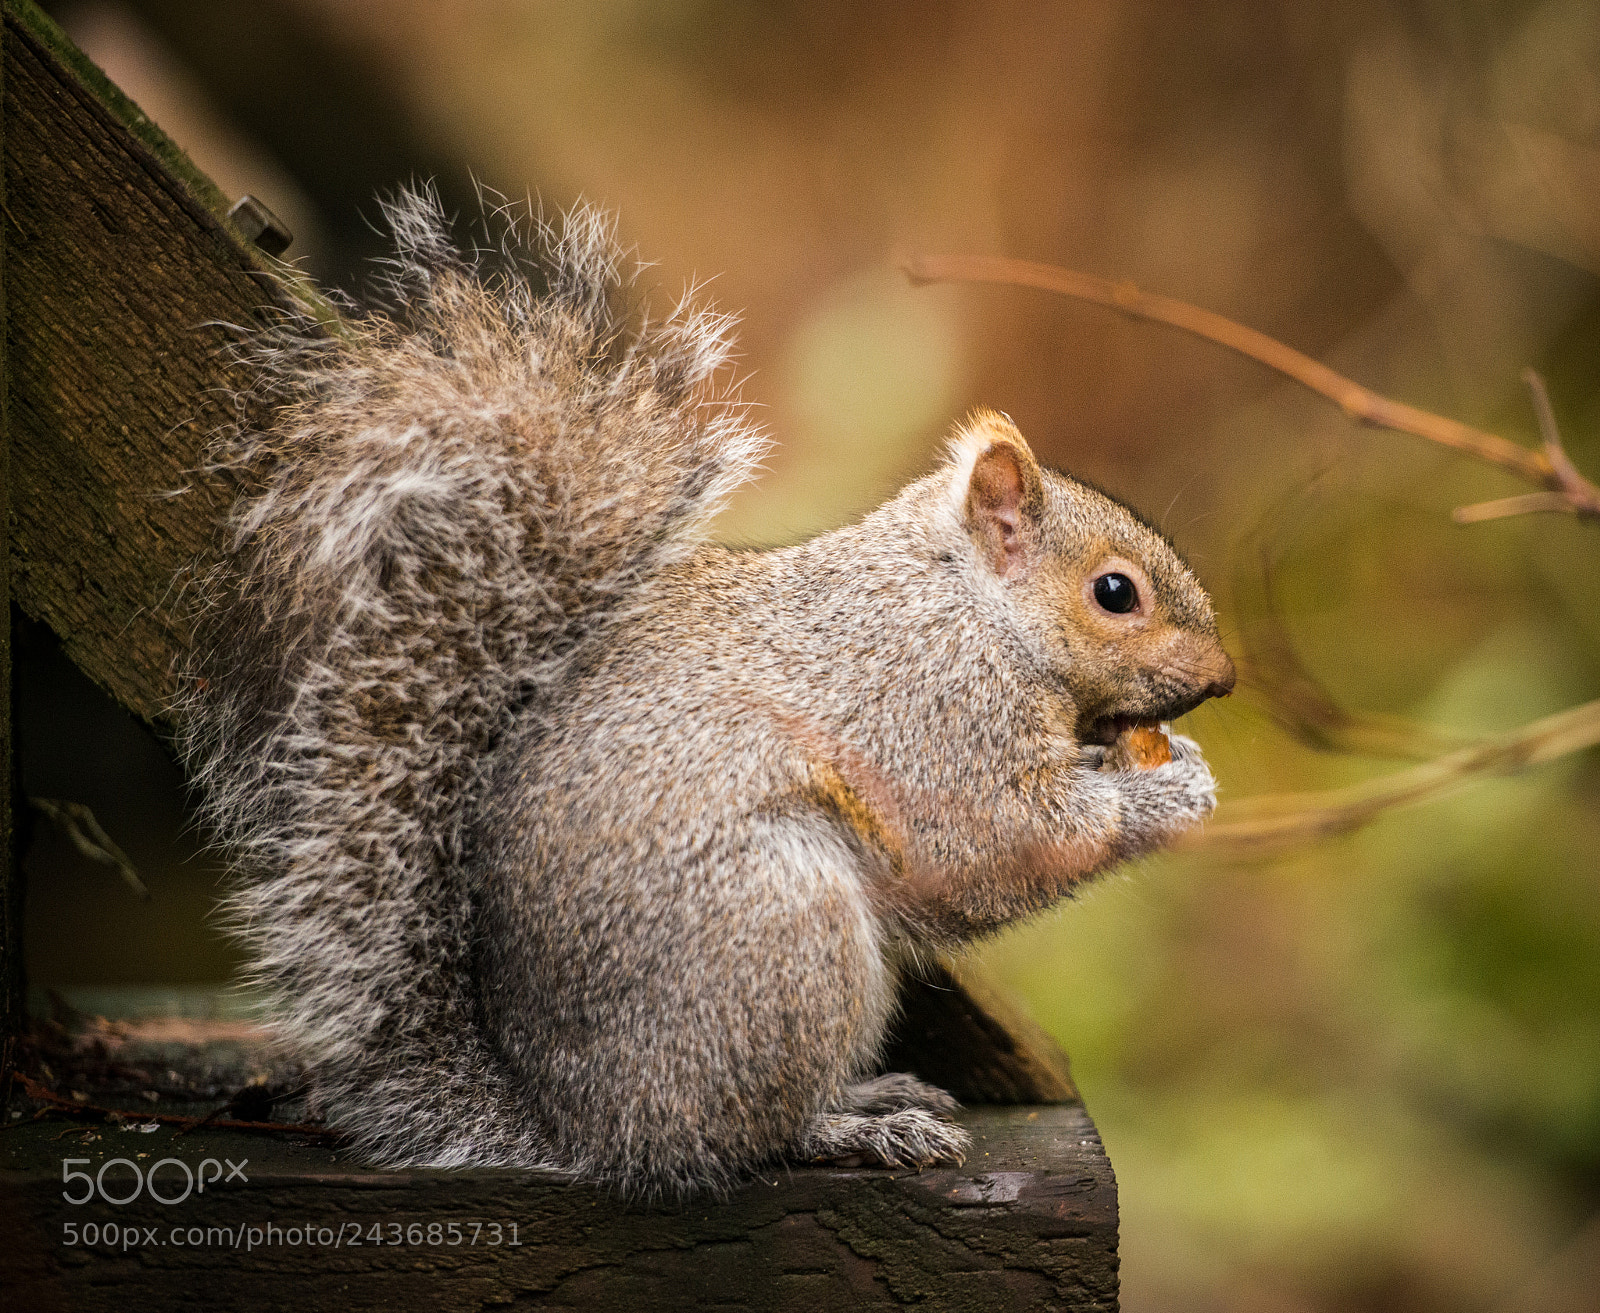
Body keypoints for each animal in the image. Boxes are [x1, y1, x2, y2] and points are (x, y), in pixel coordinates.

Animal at [179, 186, 1235, 1198]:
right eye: (1115, 593)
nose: (1224, 679)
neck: (966, 600)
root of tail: (581, 1128)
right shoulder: (931, 711)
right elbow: (999, 840)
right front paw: (1165, 793)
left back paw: (869, 1092)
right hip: (779, 940)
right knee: (740, 1138)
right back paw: (853, 1129)